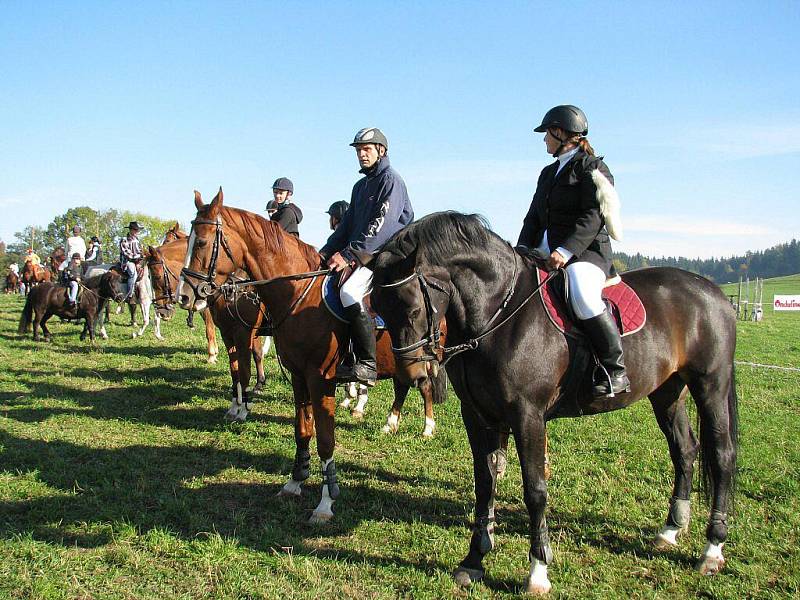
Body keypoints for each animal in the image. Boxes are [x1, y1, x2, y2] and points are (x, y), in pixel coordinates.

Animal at [177, 190, 446, 524]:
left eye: (201, 242)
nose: (184, 295)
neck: (300, 293)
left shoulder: (319, 379)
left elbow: (325, 438)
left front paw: (326, 503)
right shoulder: (298, 377)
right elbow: (303, 430)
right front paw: (295, 481)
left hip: (426, 359)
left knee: (424, 388)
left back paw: (427, 428)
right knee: (403, 387)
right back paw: (391, 423)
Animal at [372, 211, 740, 596]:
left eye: (413, 309)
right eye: (378, 308)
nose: (412, 374)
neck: (497, 313)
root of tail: (713, 292)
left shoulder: (527, 416)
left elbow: (535, 490)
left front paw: (537, 572)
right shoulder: (478, 415)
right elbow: (485, 483)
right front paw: (473, 561)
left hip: (710, 385)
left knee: (722, 455)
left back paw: (712, 550)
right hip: (668, 391)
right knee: (684, 450)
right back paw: (670, 531)